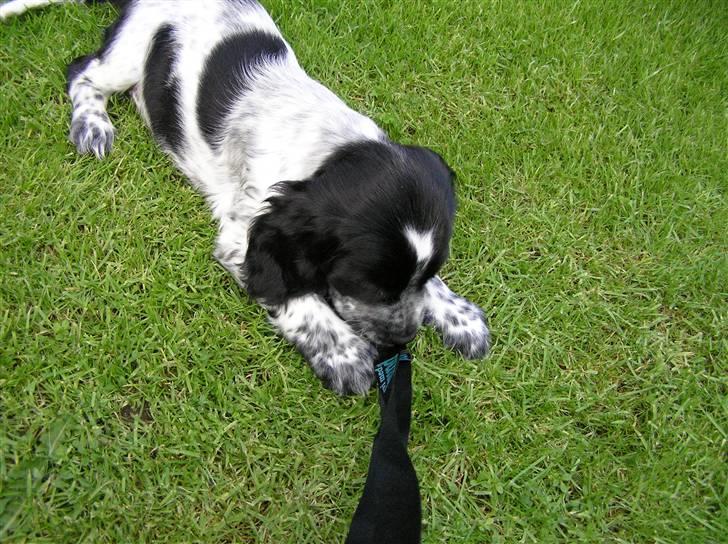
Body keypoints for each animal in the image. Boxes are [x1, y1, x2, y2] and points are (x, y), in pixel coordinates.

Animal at [2, 0, 492, 394]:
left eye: (430, 272)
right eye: (369, 286)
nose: (403, 339)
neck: (328, 147)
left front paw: (459, 316)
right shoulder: (245, 235)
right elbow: (294, 292)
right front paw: (343, 353)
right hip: (127, 52)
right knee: (82, 72)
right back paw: (92, 125)